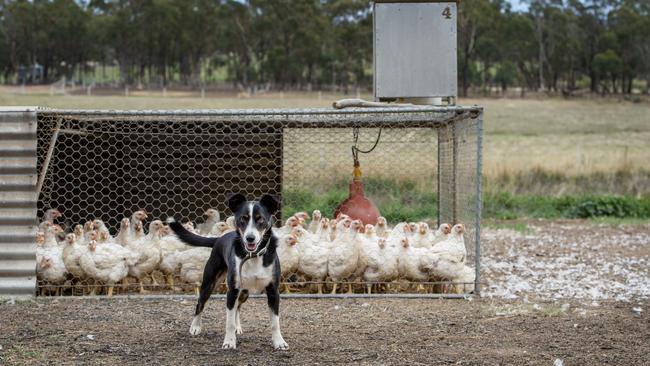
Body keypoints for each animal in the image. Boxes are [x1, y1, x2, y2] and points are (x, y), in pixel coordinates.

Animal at [166, 193, 288, 350]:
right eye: (243, 219)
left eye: (260, 219)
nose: (250, 238)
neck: (252, 255)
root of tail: (219, 238)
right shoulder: (232, 291)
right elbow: (229, 322)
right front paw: (229, 342)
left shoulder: (273, 291)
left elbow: (275, 322)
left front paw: (279, 342)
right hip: (209, 283)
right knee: (200, 303)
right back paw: (195, 327)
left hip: (244, 292)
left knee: (238, 308)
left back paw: (238, 327)